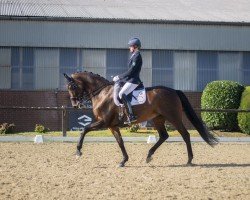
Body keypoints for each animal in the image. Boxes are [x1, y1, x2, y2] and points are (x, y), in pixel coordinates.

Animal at [63, 72, 218, 167]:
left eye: (72, 86)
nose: (75, 105)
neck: (102, 93)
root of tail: (174, 91)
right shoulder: (112, 126)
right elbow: (120, 142)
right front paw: (123, 161)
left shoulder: (104, 122)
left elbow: (84, 129)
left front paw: (78, 151)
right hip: (158, 119)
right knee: (164, 136)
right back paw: (149, 156)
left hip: (173, 117)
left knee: (185, 134)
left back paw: (189, 159)